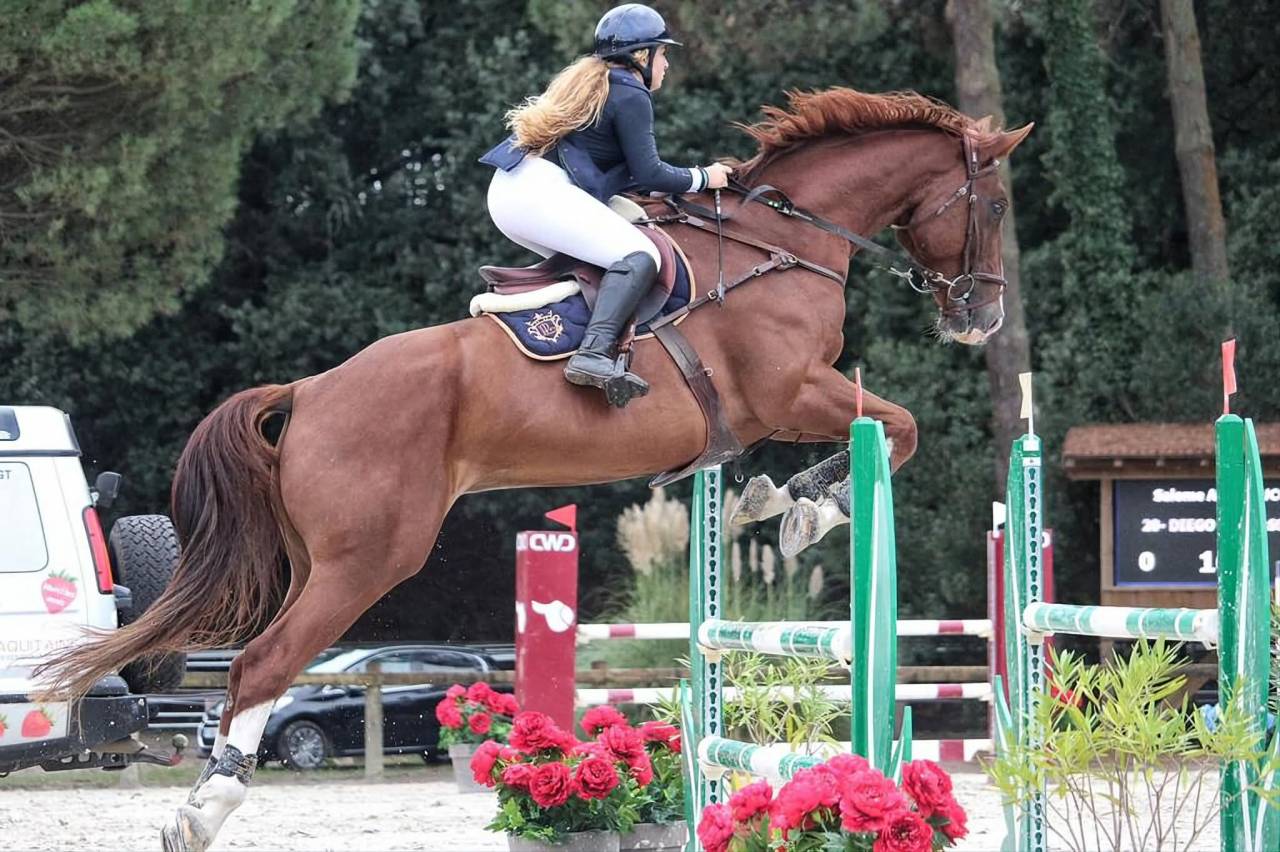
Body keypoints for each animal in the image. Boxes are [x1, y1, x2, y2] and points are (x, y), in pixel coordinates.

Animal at [36, 87, 1030, 851]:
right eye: (991, 208)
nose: (982, 318)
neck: (775, 249)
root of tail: (310, 392)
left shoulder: (785, 406)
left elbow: (864, 440)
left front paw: (764, 500)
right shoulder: (792, 392)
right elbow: (897, 429)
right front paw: (803, 511)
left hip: (320, 559)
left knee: (256, 666)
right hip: (368, 560)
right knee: (261, 665)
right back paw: (202, 813)